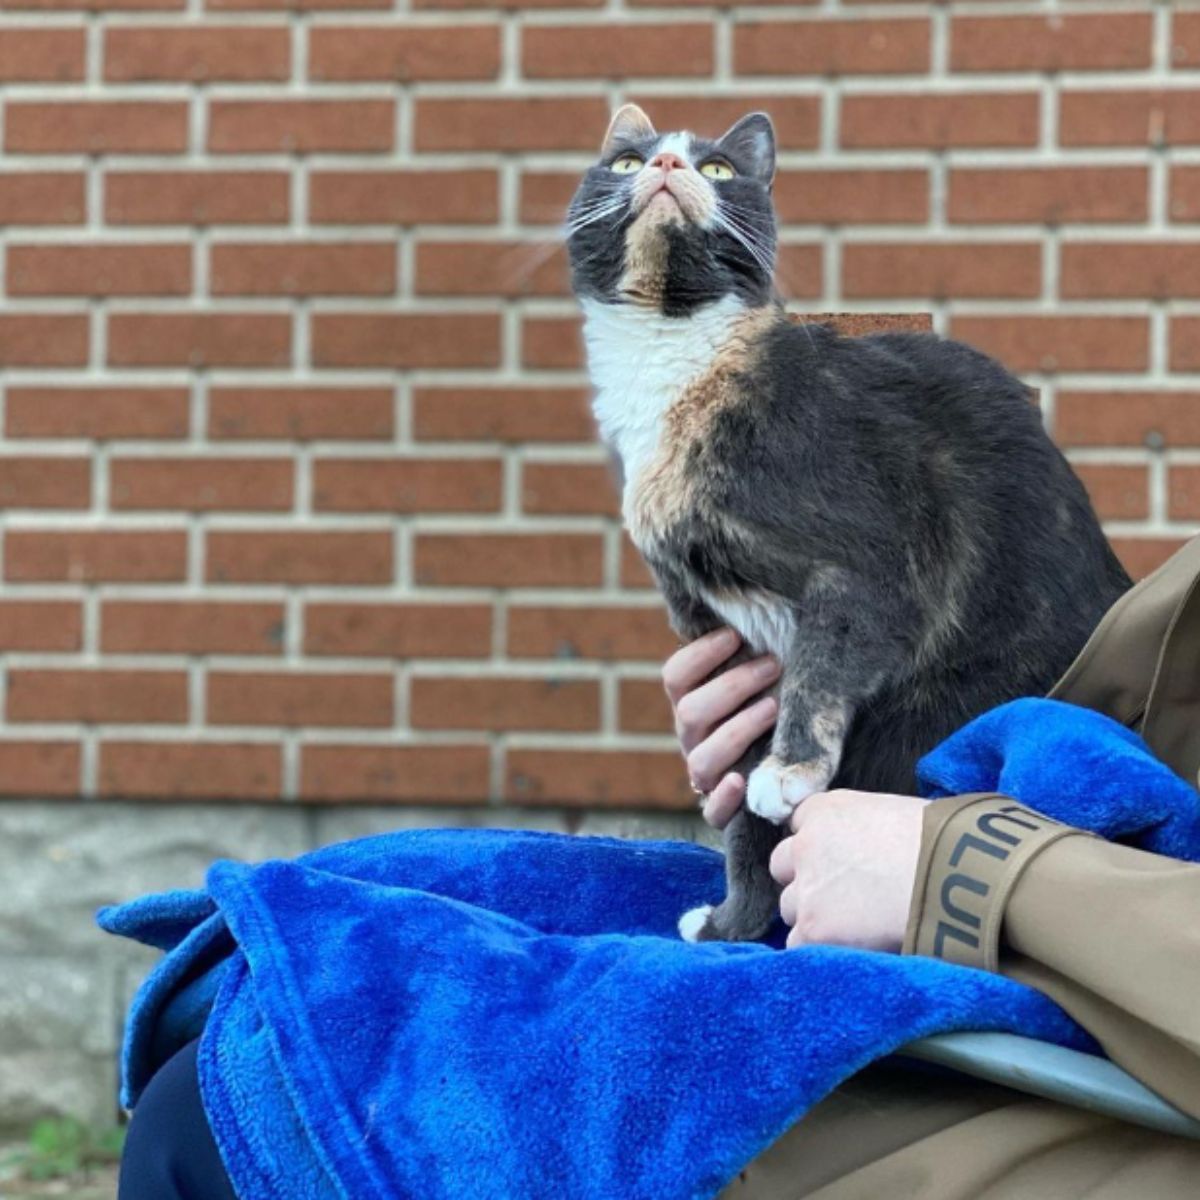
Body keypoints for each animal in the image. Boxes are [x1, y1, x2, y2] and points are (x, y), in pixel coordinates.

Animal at [566, 103, 1128, 940]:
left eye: (719, 168)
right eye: (628, 163)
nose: (666, 165)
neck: (674, 362)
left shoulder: (872, 558)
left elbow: (823, 666)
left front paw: (790, 772)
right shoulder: (714, 630)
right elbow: (741, 806)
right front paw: (736, 925)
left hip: (941, 708)